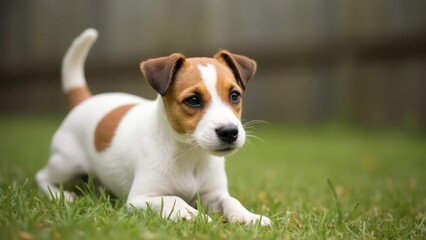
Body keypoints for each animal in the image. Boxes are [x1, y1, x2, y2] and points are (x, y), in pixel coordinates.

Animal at [35, 29, 272, 226]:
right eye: (193, 100)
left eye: (235, 96)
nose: (229, 132)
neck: (189, 155)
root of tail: (85, 100)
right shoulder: (140, 198)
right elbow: (174, 199)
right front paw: (195, 216)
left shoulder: (214, 194)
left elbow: (231, 200)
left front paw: (249, 216)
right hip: (67, 163)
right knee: (42, 176)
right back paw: (62, 195)